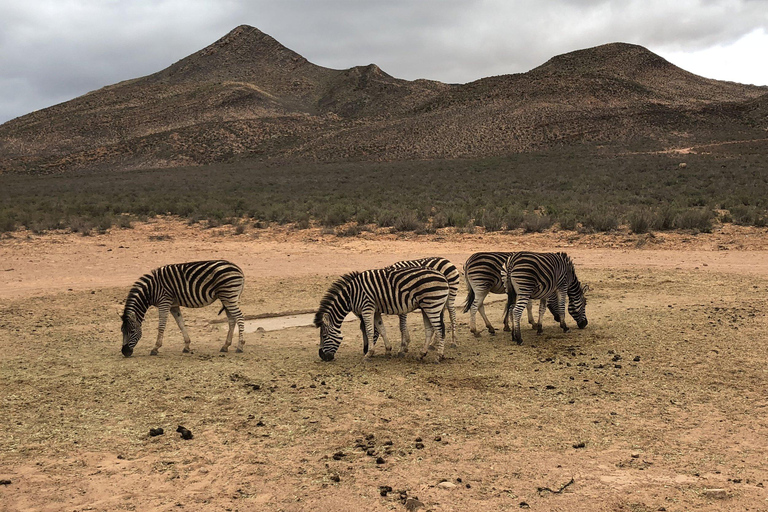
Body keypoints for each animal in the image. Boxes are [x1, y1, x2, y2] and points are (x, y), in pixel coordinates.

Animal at [316, 266, 452, 362]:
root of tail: (443, 276)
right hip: (426, 306)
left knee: (440, 329)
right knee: (430, 329)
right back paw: (421, 354)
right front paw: (388, 350)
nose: (322, 356)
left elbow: (370, 331)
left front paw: (368, 354)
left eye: (324, 336)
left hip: (432, 305)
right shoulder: (375, 310)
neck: (351, 295)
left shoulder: (367, 307)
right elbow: (382, 329)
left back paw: (438, 356)